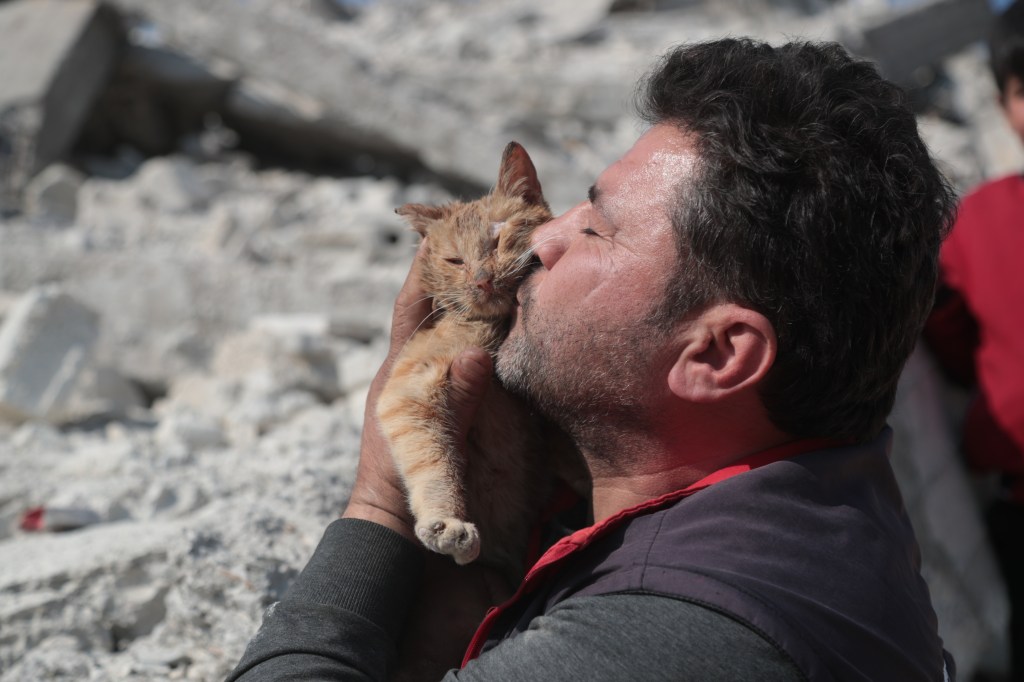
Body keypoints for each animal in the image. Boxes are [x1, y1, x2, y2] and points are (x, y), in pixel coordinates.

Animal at [376, 142, 552, 573]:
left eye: (498, 238)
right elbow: (431, 456)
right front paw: (446, 520)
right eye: (455, 260)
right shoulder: (410, 388)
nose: (482, 280)